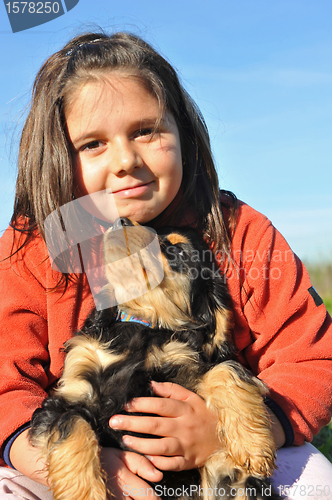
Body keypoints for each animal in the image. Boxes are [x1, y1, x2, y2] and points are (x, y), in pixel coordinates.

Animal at [29, 219, 282, 500]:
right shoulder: (70, 394)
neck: (142, 323)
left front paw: (254, 447)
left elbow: (226, 369)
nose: (121, 220)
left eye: (177, 251)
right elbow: (71, 425)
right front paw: (85, 494)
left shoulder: (181, 370)